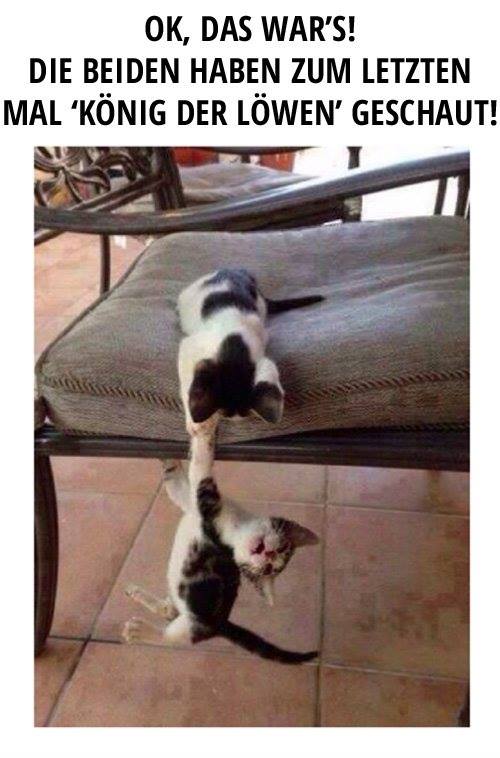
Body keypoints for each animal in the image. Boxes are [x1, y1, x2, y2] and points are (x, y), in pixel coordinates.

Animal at [122, 460, 319, 664]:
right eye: (282, 549)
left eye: (267, 569)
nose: (269, 555)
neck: (238, 525)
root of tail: (222, 623)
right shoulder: (190, 502)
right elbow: (177, 484)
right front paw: (169, 462)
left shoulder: (208, 508)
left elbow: (201, 474)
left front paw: (203, 450)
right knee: (170, 611)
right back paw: (140, 594)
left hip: (194, 625)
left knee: (171, 635)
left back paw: (138, 631)